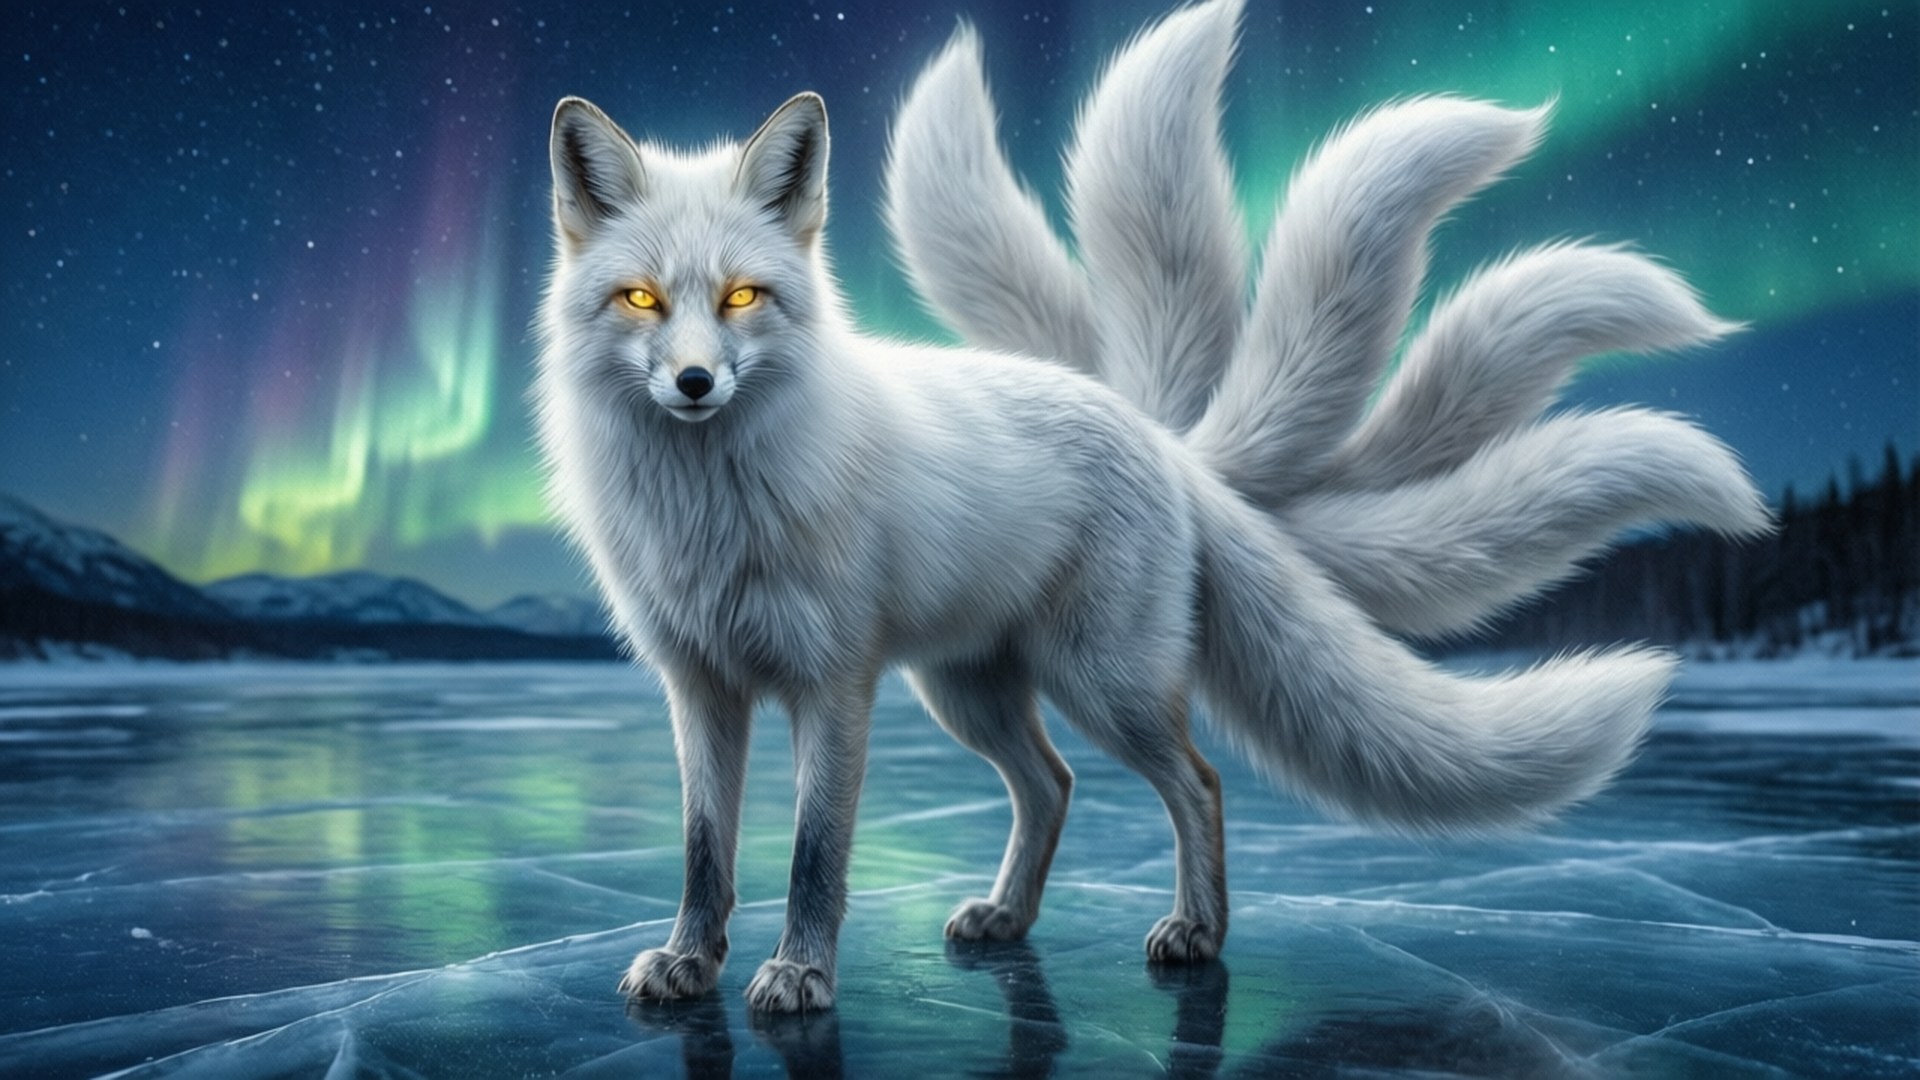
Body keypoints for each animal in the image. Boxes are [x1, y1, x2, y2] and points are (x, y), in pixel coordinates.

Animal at [533, 0, 1770, 1014]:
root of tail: (1167, 444)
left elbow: (813, 857)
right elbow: (705, 851)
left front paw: (799, 977)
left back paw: (1197, 933)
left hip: (1101, 682)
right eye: (641, 300)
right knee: (1053, 786)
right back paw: (1010, 917)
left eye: (744, 297)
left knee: (1198, 780)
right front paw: (689, 963)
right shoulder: (700, 685)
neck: (709, 510)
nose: (696, 383)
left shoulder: (830, 687)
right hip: (970, 691)